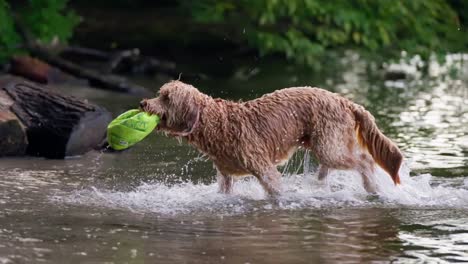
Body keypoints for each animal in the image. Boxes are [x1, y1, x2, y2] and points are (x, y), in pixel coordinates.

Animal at [139, 80, 402, 196]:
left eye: (166, 98)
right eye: (160, 94)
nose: (143, 103)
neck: (216, 124)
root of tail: (345, 101)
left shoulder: (263, 167)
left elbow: (275, 189)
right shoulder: (225, 176)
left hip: (330, 146)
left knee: (365, 161)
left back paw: (373, 188)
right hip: (327, 143)